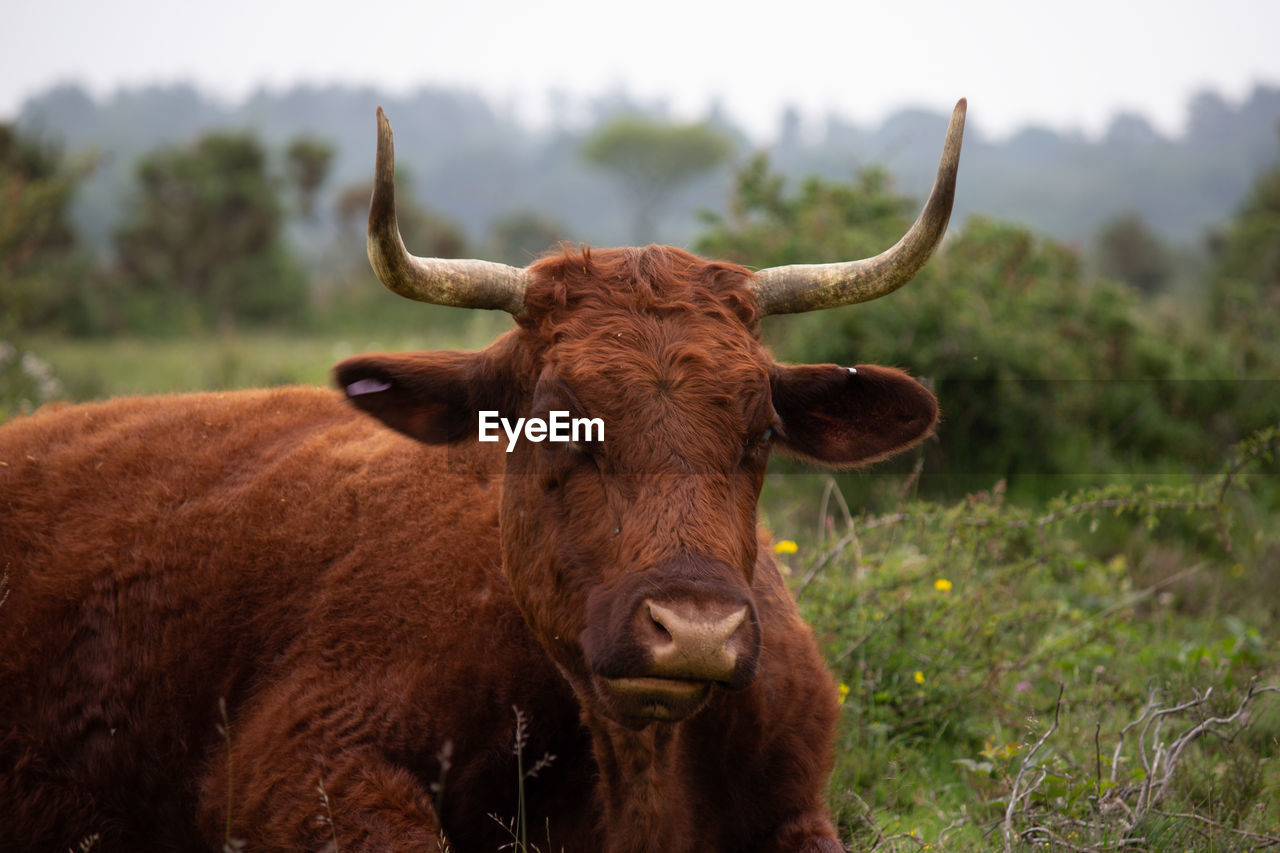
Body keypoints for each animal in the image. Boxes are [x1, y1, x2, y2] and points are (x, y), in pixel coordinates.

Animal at [0, 101, 962, 850]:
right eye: (553, 421)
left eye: (761, 429)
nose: (694, 629)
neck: (637, 770)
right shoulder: (306, 762)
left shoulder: (799, 804)